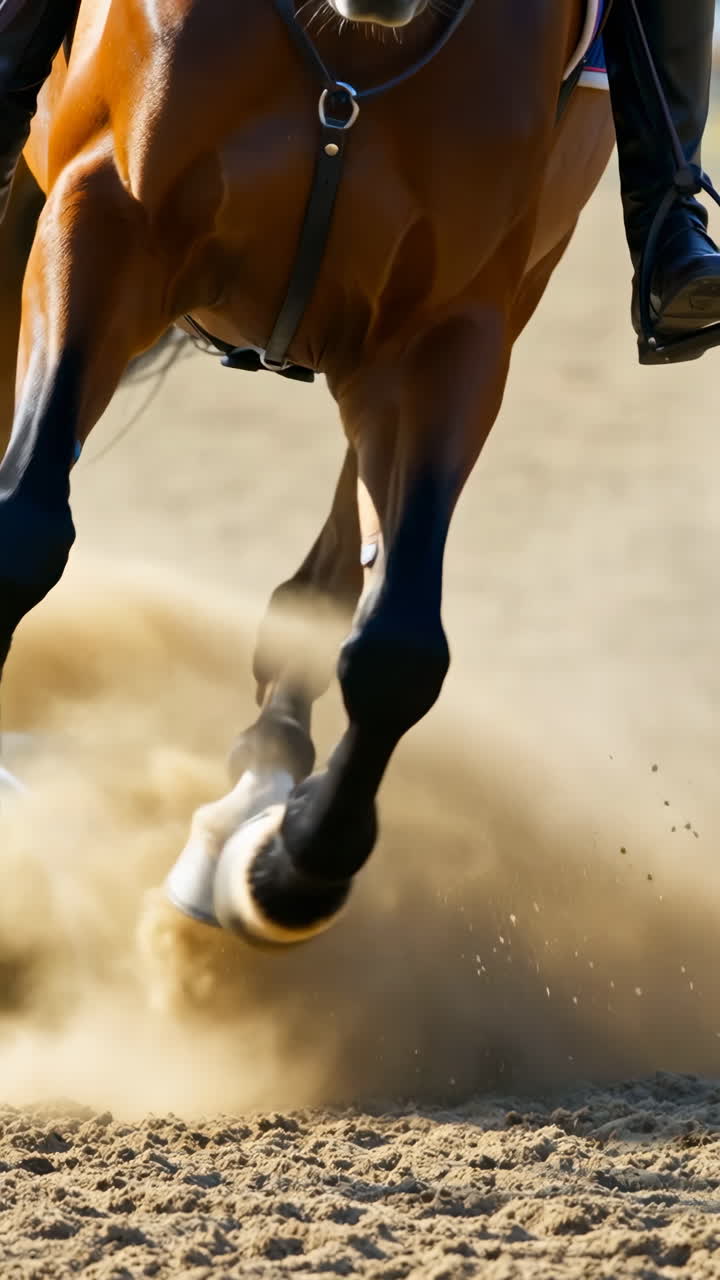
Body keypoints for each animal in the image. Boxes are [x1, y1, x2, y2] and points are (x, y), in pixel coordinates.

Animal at [2, 0, 614, 947]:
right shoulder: (104, 217)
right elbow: (24, 534)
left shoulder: (447, 334)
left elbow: (400, 647)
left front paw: (289, 866)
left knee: (334, 578)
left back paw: (264, 775)